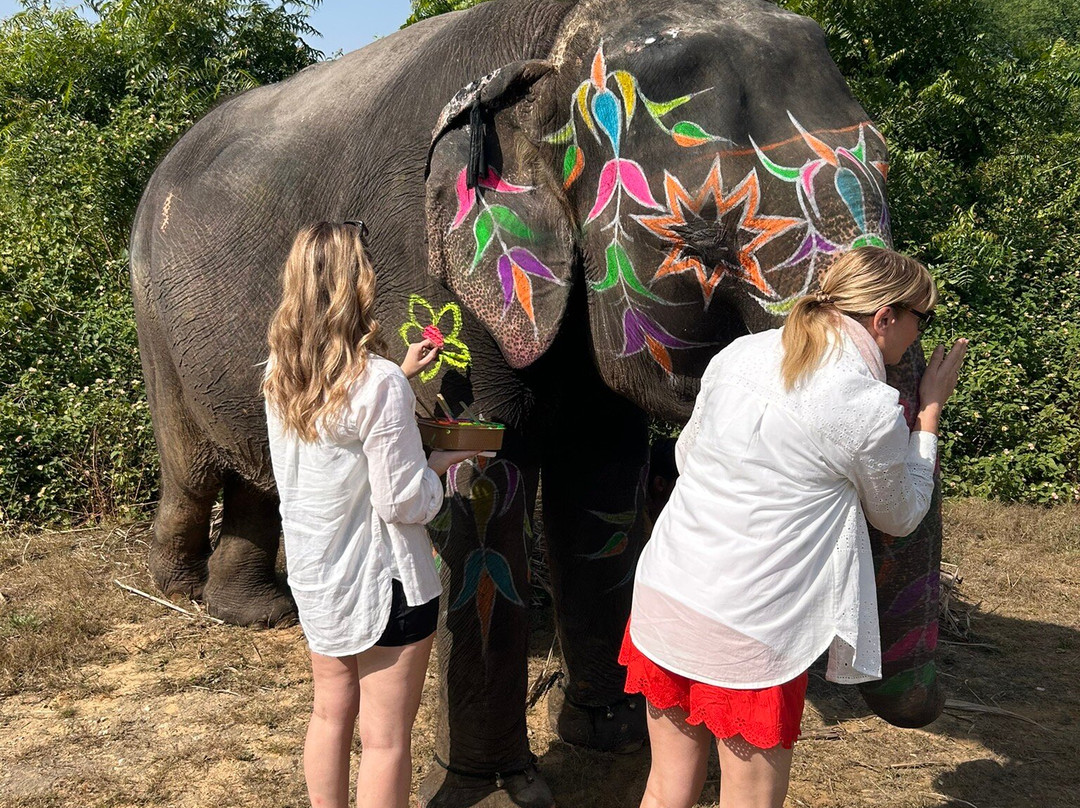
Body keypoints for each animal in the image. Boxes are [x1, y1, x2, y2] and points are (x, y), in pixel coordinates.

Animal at [129, 1, 945, 806]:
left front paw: (609, 734)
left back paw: (258, 612)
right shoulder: (424, 262)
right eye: (706, 238)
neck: (555, 40)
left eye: (887, 165)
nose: (916, 708)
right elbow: (483, 474)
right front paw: (491, 790)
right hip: (153, 323)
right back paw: (179, 589)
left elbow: (600, 479)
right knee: (192, 472)